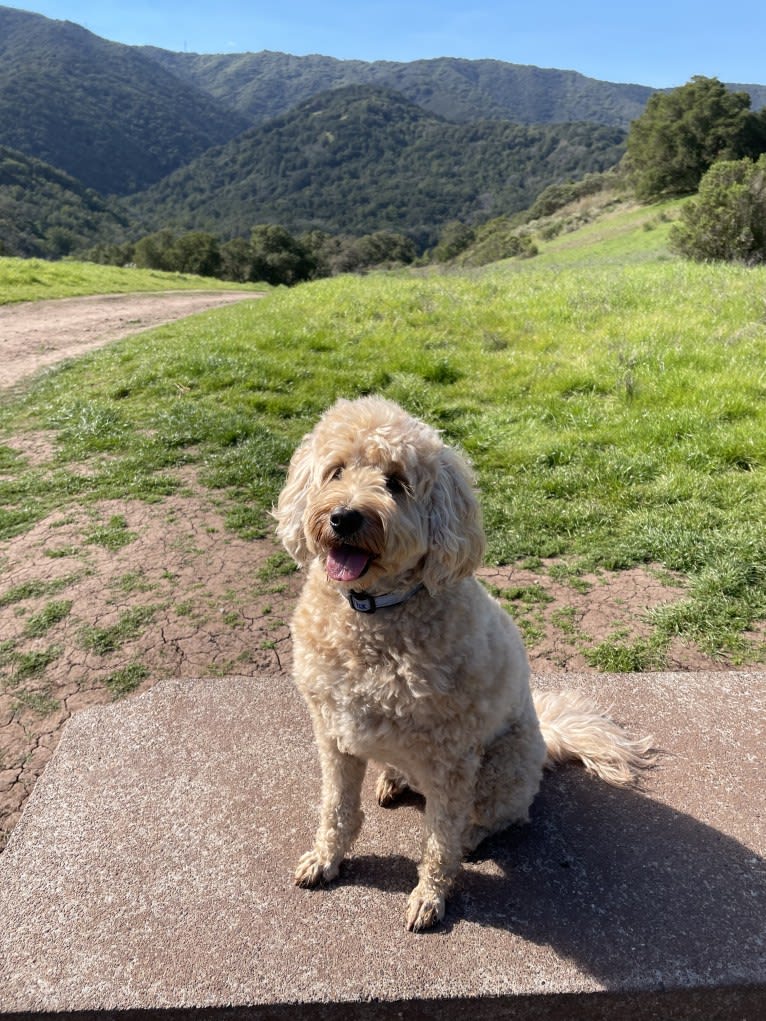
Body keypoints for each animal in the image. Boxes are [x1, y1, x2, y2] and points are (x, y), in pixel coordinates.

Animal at [275, 394, 653, 931]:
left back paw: (471, 838)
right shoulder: (333, 735)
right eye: (336, 471)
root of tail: (548, 737)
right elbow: (337, 810)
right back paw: (392, 779)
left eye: (397, 482)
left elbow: (439, 840)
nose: (344, 517)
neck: (375, 612)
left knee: (499, 818)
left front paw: (430, 896)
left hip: (501, 769)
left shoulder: (452, 758)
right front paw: (326, 859)